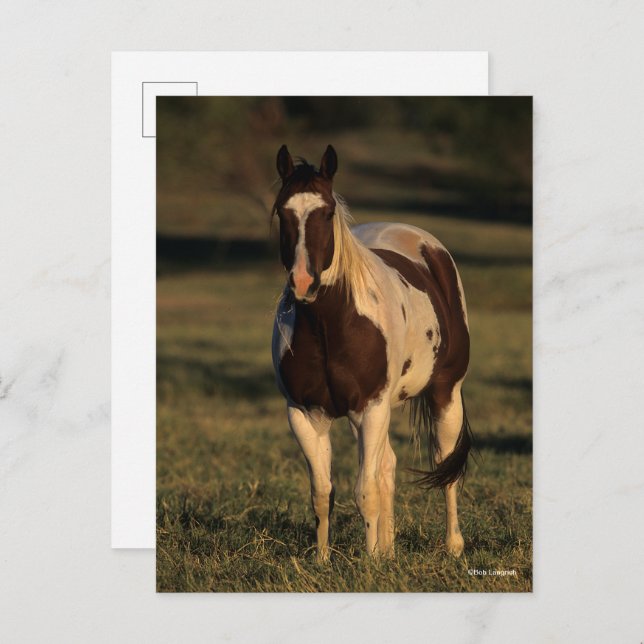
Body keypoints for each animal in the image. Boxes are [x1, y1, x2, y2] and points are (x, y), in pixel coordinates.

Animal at [271, 144, 473, 560]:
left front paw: (369, 564)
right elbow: (322, 493)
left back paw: (453, 546)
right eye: (282, 211)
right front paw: (324, 561)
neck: (330, 326)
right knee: (388, 466)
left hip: (445, 393)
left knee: (444, 465)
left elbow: (365, 493)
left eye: (327, 212)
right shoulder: (305, 414)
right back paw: (390, 550)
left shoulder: (372, 407)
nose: (303, 283)